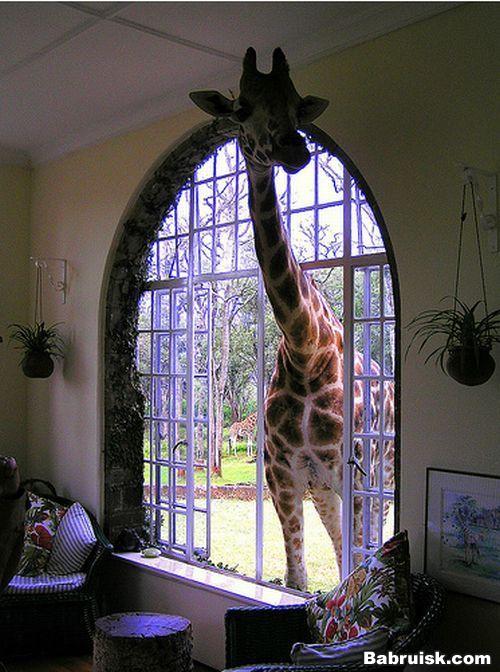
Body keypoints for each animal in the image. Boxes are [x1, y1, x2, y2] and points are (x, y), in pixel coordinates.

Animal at [191, 47, 394, 590]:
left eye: (299, 105)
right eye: (241, 109)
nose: (294, 148)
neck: (306, 346)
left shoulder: (354, 472)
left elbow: (354, 561)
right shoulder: (284, 475)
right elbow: (297, 578)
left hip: (379, 476)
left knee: (365, 547)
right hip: (324, 489)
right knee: (344, 552)